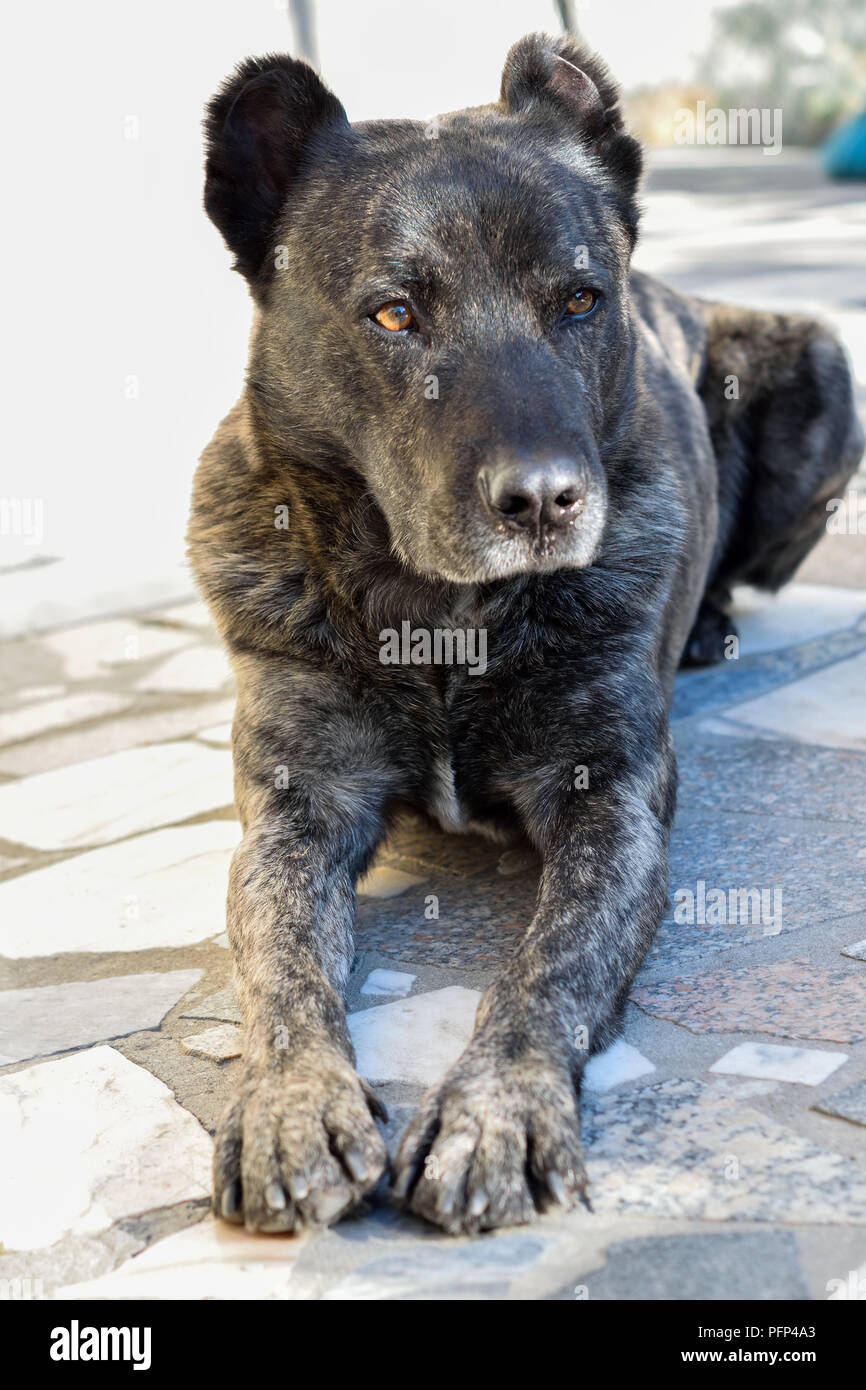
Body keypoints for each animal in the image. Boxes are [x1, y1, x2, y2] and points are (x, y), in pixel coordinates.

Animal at [187, 32, 861, 1234]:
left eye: (582, 300)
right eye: (393, 314)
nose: (546, 500)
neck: (444, 627)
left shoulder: (612, 807)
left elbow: (547, 971)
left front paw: (496, 1112)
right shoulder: (294, 811)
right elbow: (279, 963)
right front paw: (290, 1102)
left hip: (823, 370)